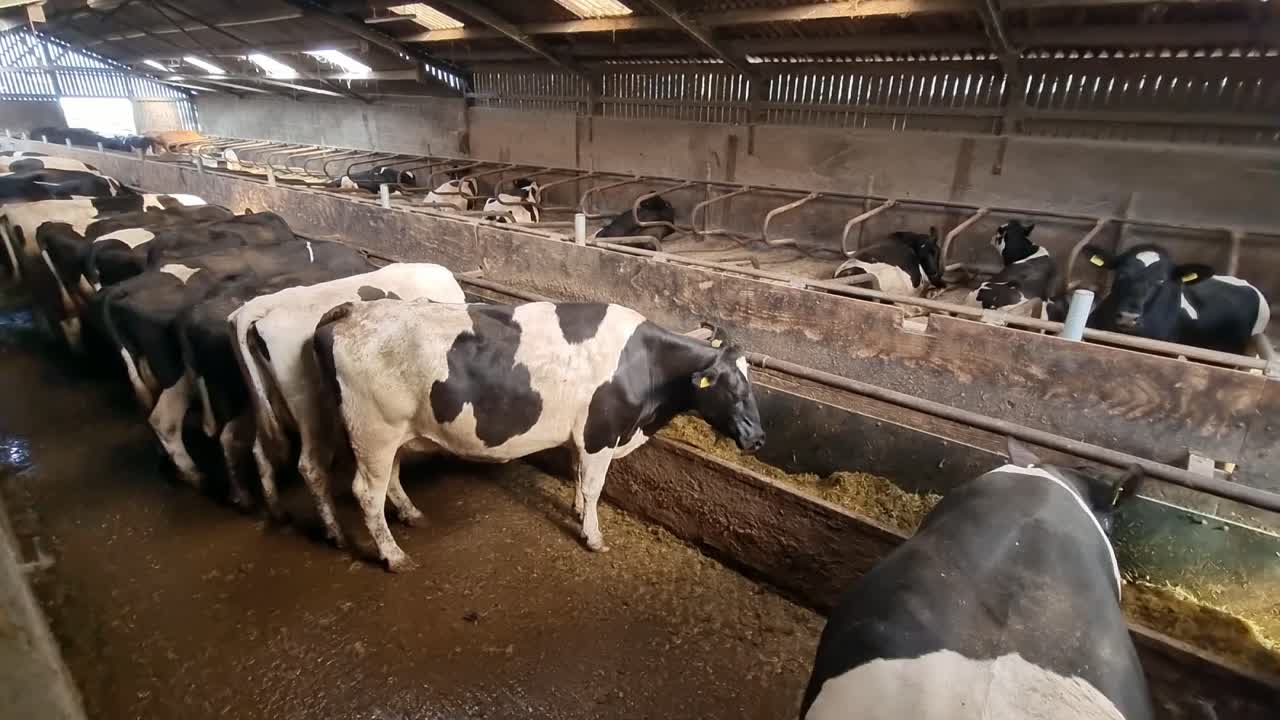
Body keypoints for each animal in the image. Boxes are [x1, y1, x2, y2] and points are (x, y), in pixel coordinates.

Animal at [230, 263, 465, 535]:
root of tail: (259, 307)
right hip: (309, 405)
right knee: (310, 466)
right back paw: (337, 533)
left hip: (263, 400)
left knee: (261, 451)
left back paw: (279, 513)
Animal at [314, 301, 765, 570]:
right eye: (733, 387)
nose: (759, 438)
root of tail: (352, 312)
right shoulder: (600, 434)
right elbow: (595, 485)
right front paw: (593, 536)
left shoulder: (581, 437)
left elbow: (579, 478)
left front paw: (578, 512)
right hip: (374, 431)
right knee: (366, 493)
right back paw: (393, 555)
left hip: (390, 434)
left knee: (389, 478)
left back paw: (412, 515)